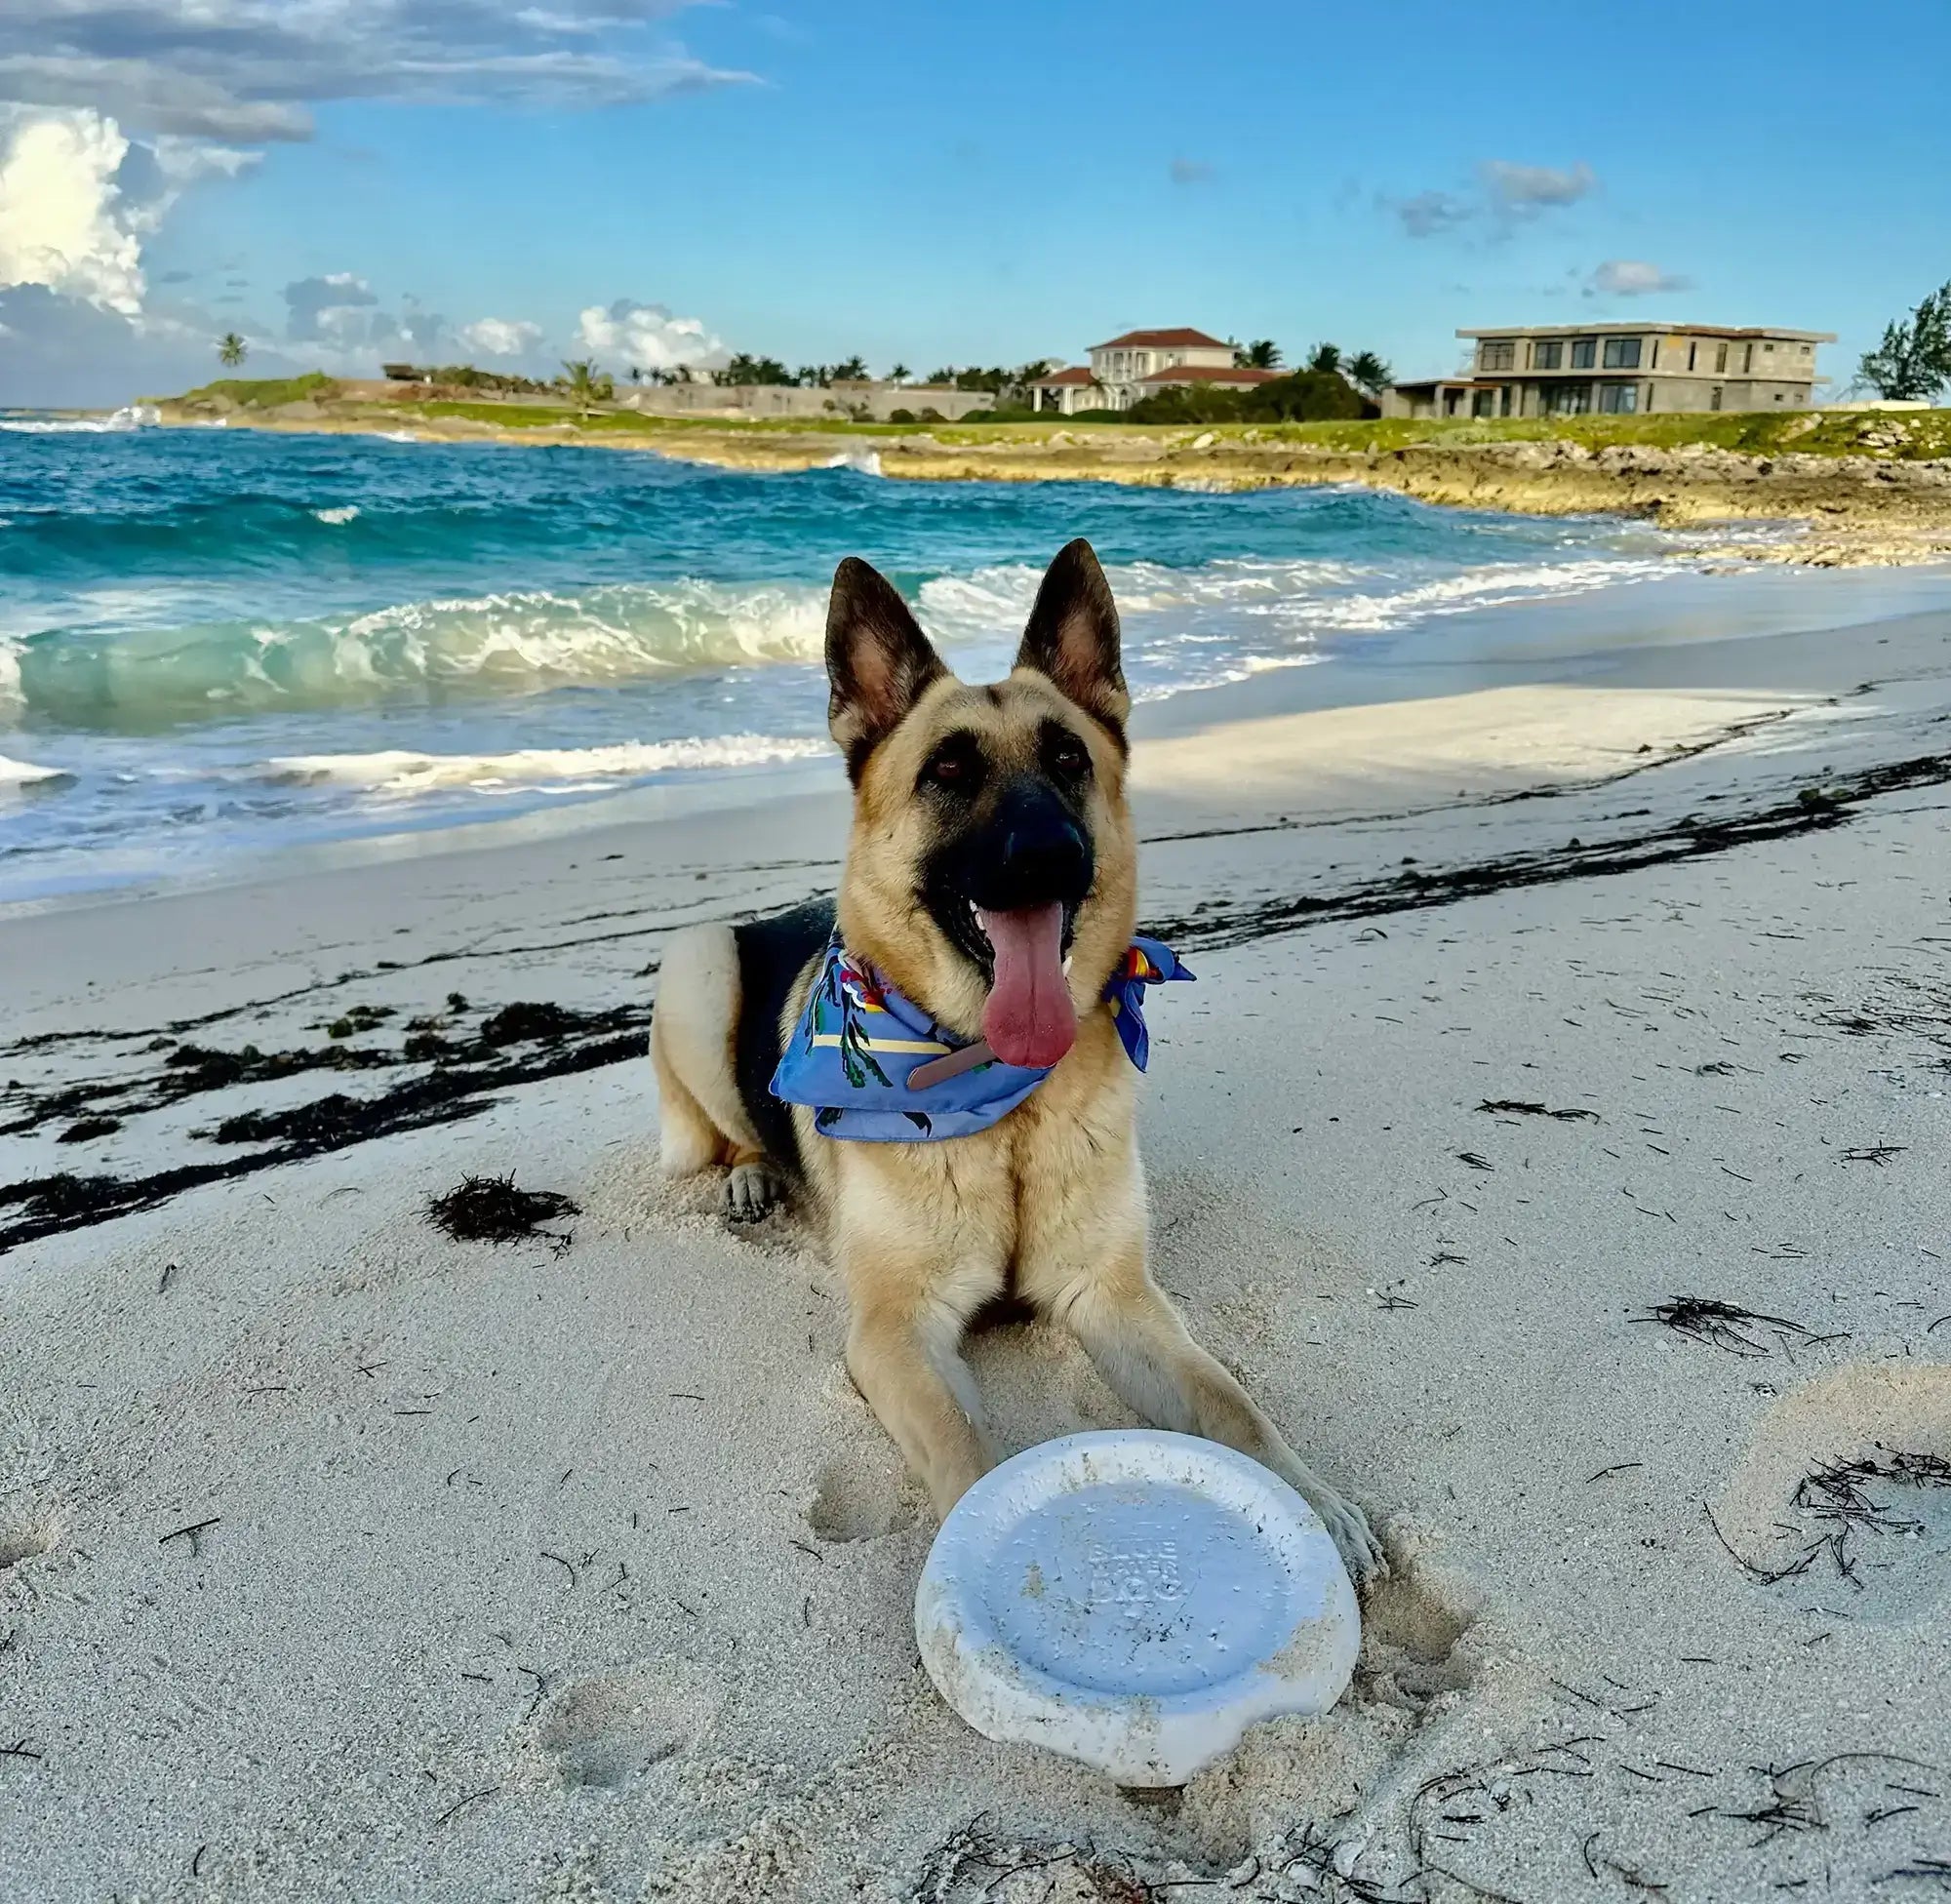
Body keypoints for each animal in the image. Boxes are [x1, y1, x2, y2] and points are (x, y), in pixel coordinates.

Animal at [656, 538, 1389, 1576]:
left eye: (1069, 757)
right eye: (948, 771)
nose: (1049, 854)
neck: (993, 1098)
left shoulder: (1117, 1299)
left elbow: (1231, 1404)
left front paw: (1312, 1501)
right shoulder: (895, 1332)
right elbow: (964, 1446)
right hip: (697, 962)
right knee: (731, 1129)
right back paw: (752, 1175)